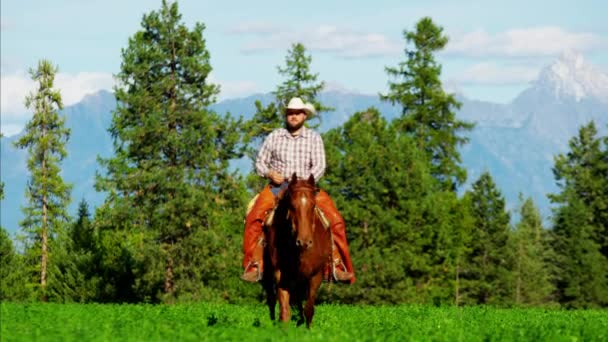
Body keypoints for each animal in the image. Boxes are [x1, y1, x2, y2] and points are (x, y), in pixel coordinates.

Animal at [262, 175, 332, 328]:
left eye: (313, 206)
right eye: (292, 206)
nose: (304, 242)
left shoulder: (316, 275)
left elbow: (309, 309)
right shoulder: (281, 274)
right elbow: (284, 311)